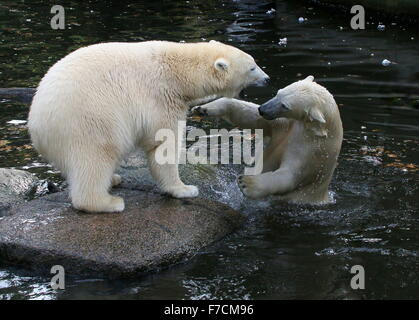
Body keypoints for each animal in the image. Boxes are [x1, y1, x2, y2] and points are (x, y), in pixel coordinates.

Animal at [27, 41, 270, 214]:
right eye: (252, 67)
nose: (267, 79)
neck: (178, 71)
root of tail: (37, 124)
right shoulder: (161, 98)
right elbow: (162, 144)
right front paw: (185, 189)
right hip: (89, 121)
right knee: (96, 158)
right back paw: (109, 202)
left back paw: (113, 179)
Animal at [192, 76, 342, 204]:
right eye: (278, 92)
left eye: (285, 105)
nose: (262, 109)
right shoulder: (285, 125)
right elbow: (251, 118)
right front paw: (203, 108)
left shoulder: (312, 152)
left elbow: (289, 176)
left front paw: (246, 183)